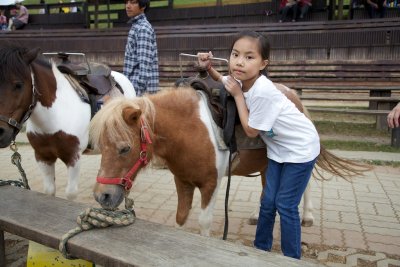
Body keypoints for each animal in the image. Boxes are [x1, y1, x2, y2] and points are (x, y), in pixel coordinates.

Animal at [90, 85, 368, 237]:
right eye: (100, 146)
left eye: (125, 148)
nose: (102, 196)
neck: (190, 130)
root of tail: (294, 98)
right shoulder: (182, 182)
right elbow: (180, 218)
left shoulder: (211, 184)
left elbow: (204, 222)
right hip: (268, 165)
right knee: (266, 189)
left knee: (306, 184)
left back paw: (308, 216)